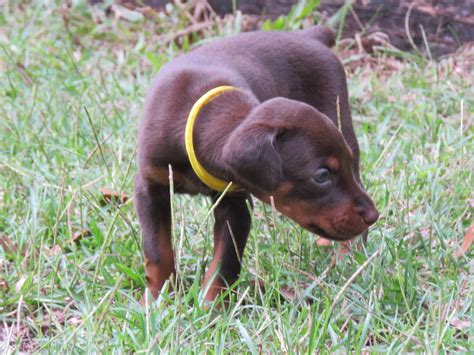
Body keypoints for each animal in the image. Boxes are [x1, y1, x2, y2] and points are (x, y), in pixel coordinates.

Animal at [136, 26, 378, 302]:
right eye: (321, 176)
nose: (374, 216)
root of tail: (310, 36)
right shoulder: (149, 187)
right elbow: (157, 250)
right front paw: (157, 299)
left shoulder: (235, 203)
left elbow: (225, 263)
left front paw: (211, 307)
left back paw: (349, 256)